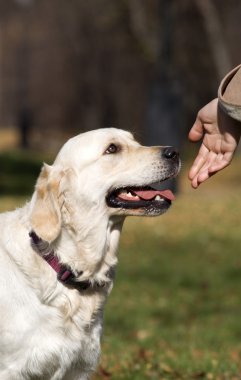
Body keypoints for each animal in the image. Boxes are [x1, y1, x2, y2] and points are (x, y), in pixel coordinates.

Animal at [0, 129, 180, 378]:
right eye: (112, 148)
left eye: (135, 141)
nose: (174, 152)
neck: (62, 262)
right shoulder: (11, 369)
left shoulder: (78, 366)